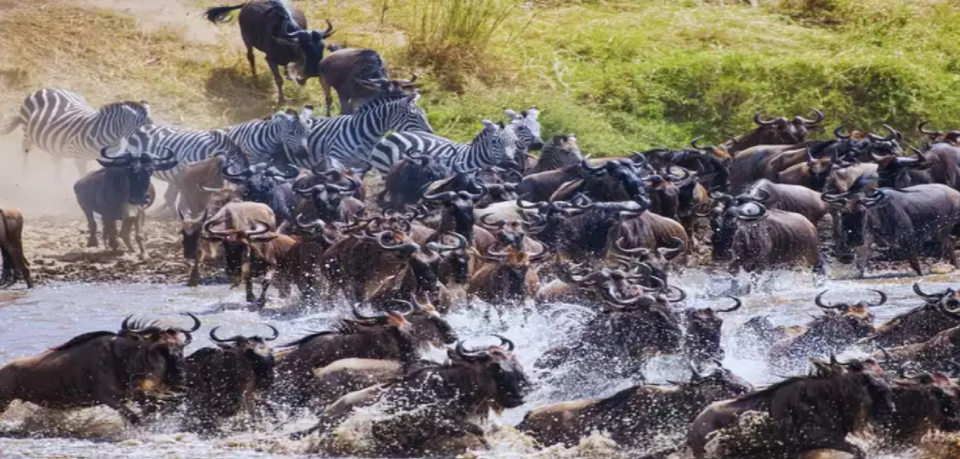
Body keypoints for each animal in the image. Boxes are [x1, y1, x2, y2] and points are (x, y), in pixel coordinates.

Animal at [0, 88, 152, 180]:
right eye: (140, 129)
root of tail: (46, 89)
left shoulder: (110, 159)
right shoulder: (80, 159)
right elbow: (83, 176)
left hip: (55, 141)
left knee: (56, 160)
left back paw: (58, 183)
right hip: (28, 133)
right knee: (25, 153)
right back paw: (25, 177)